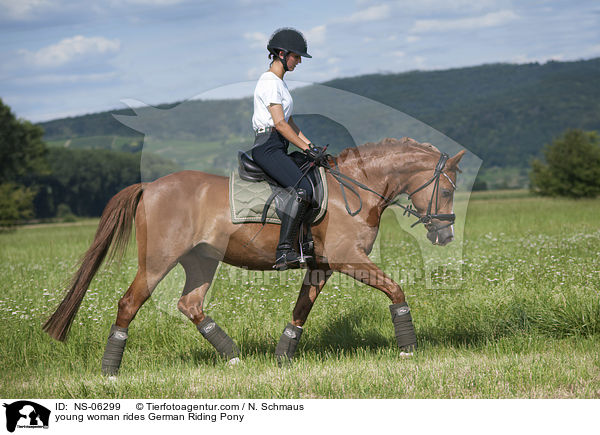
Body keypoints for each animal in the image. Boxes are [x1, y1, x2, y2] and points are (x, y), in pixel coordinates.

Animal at [43, 138, 464, 376]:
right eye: (447, 191)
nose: (445, 235)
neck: (356, 187)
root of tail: (150, 186)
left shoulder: (322, 267)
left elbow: (301, 310)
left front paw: (282, 358)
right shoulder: (348, 258)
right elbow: (396, 291)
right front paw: (408, 349)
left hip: (201, 261)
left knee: (190, 304)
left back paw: (233, 357)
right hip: (157, 261)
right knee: (129, 303)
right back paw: (110, 371)